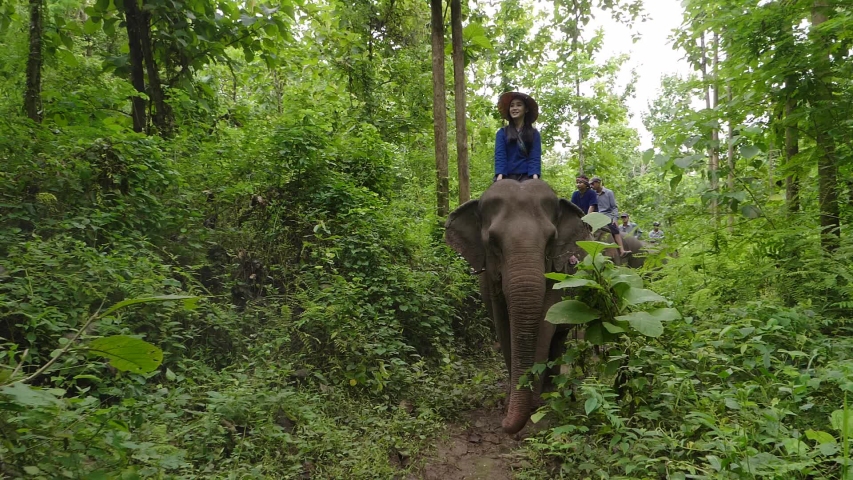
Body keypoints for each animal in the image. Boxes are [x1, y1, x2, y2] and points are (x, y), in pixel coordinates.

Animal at [445, 179, 590, 434]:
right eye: (493, 241)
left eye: (551, 240)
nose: (504, 425)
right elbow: (502, 324)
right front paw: (514, 397)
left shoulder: (557, 273)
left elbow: (545, 324)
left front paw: (535, 404)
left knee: (559, 337)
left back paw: (551, 391)